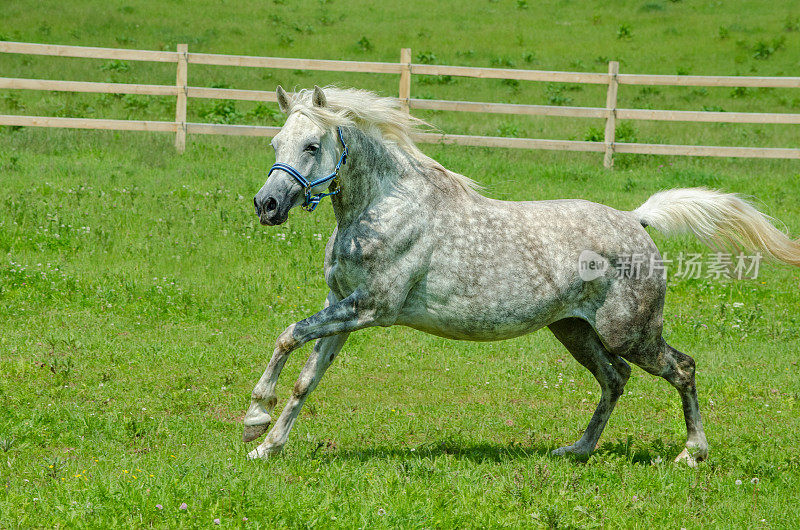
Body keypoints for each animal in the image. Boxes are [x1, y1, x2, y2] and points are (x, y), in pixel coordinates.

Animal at [245, 84, 800, 460]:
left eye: (312, 145)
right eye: (274, 143)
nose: (267, 205)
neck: (384, 207)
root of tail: (635, 220)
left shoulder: (370, 308)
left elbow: (288, 335)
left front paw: (254, 416)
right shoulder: (342, 308)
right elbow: (306, 378)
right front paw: (264, 445)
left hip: (631, 333)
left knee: (681, 369)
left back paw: (692, 453)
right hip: (574, 329)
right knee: (615, 379)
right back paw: (576, 450)